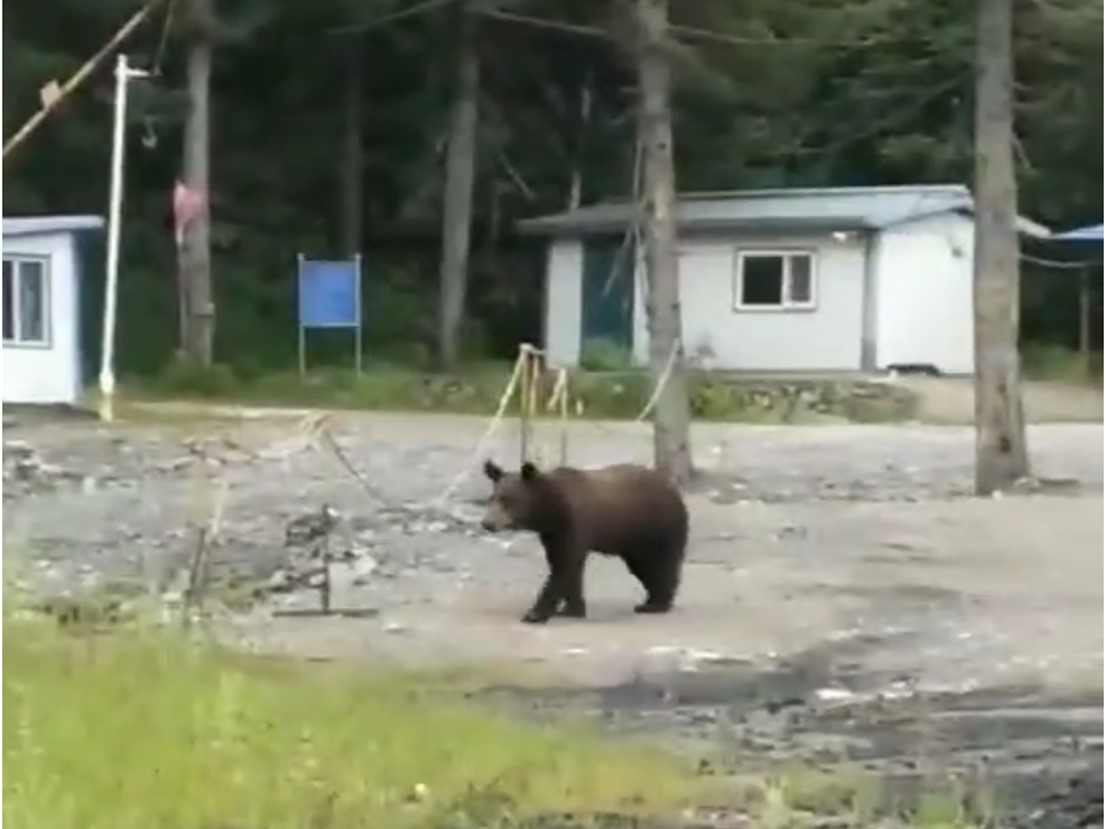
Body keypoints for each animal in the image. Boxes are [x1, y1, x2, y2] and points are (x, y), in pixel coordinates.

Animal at [480, 459, 689, 624]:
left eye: (508, 500)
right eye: (492, 498)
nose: (487, 523)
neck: (551, 511)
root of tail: (674, 489)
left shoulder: (573, 525)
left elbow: (564, 566)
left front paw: (534, 614)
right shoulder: (552, 534)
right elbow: (564, 566)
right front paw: (571, 609)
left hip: (656, 528)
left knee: (661, 564)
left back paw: (657, 604)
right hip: (634, 541)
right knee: (643, 567)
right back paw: (651, 601)